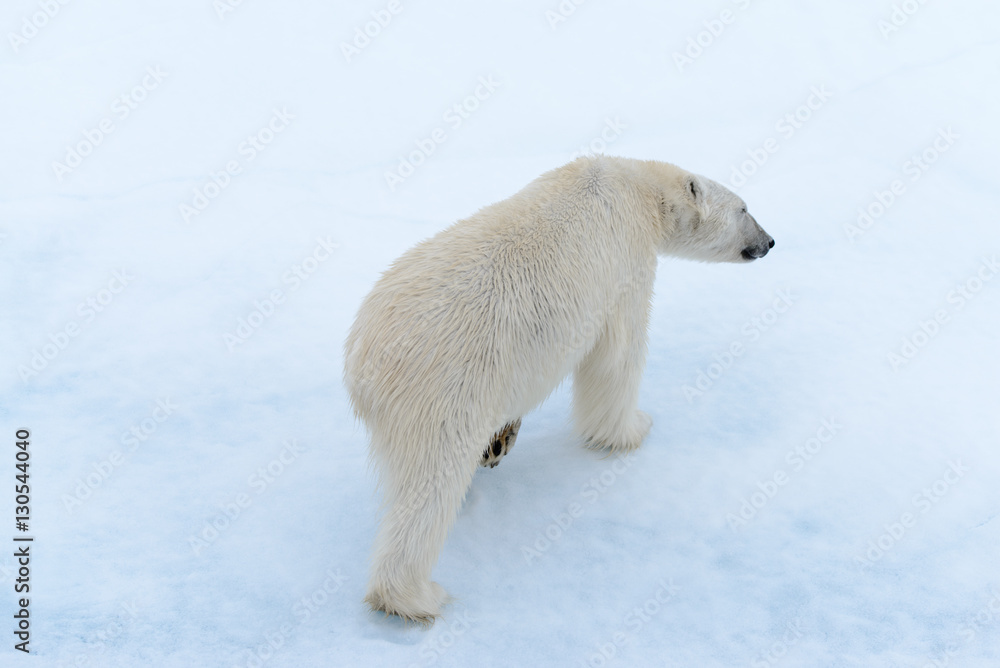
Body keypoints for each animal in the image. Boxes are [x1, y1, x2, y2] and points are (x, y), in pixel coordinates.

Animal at [344, 155, 774, 623]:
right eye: (744, 209)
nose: (769, 241)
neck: (637, 186)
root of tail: (362, 361)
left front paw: (504, 436)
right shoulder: (627, 262)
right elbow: (617, 356)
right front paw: (634, 428)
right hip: (444, 386)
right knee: (429, 485)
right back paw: (415, 596)